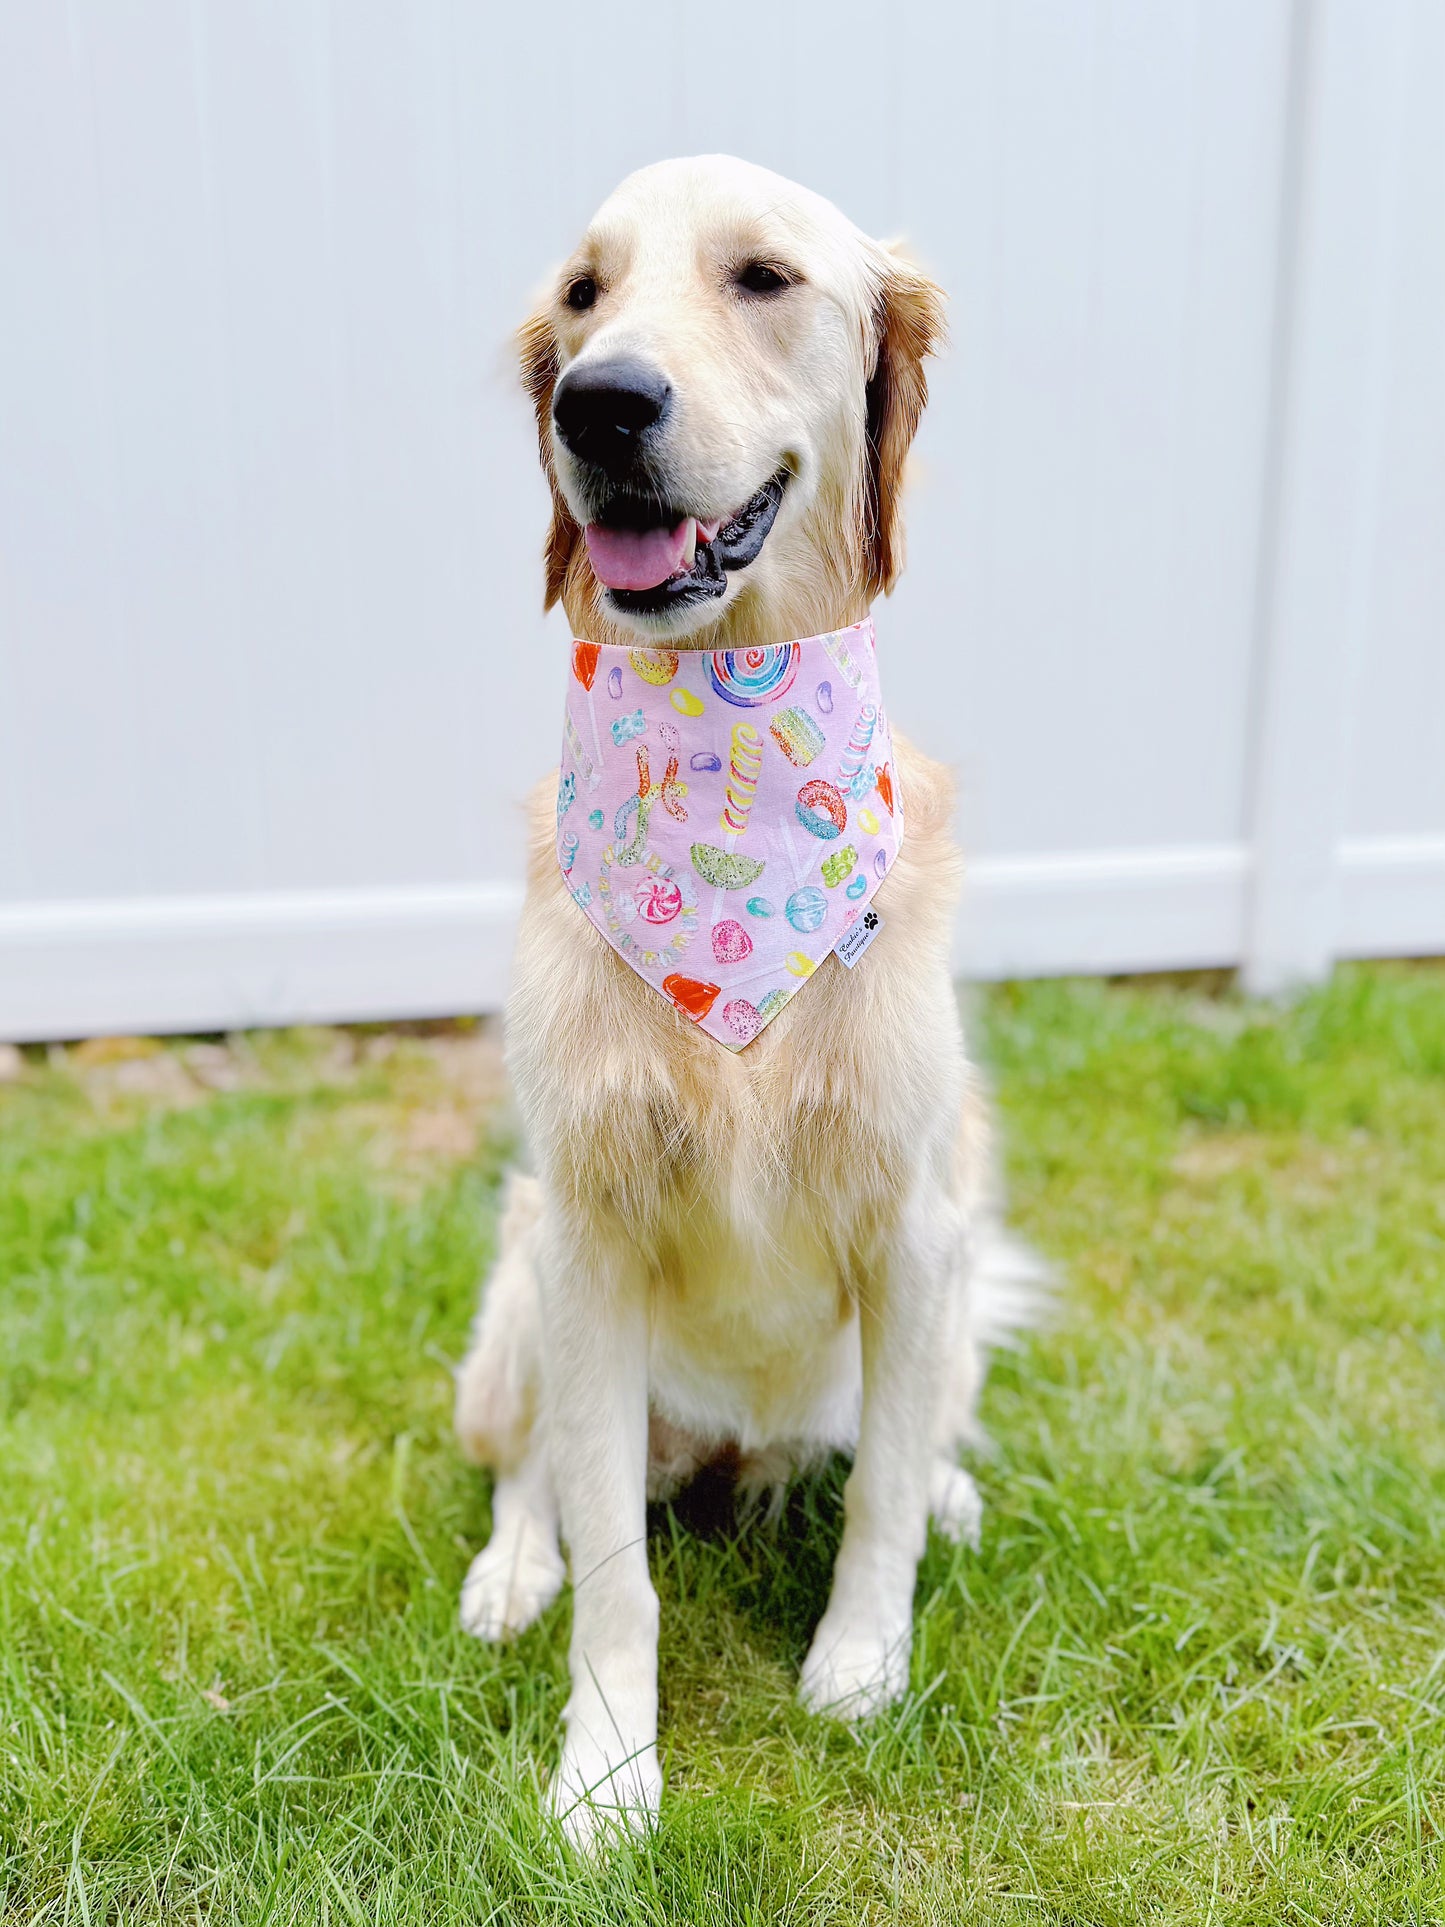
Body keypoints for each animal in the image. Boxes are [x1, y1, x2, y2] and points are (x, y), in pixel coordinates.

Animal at [454, 158, 1040, 1842]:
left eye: (764, 277)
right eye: (581, 295)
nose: (598, 403)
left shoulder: (915, 1220)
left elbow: (885, 1495)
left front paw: (860, 1660)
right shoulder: (587, 1238)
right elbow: (613, 1570)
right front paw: (604, 1775)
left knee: (911, 1430)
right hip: (518, 1289)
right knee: (528, 1467)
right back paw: (509, 1563)